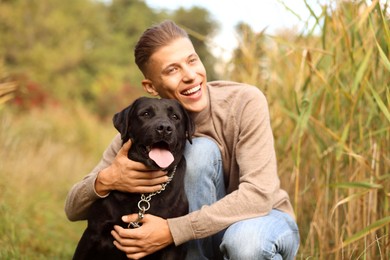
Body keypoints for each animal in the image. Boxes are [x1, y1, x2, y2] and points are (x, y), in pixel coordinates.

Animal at [72, 97, 194, 260]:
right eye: (146, 114)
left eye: (175, 117)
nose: (164, 128)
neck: (144, 195)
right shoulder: (93, 232)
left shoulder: (172, 248)